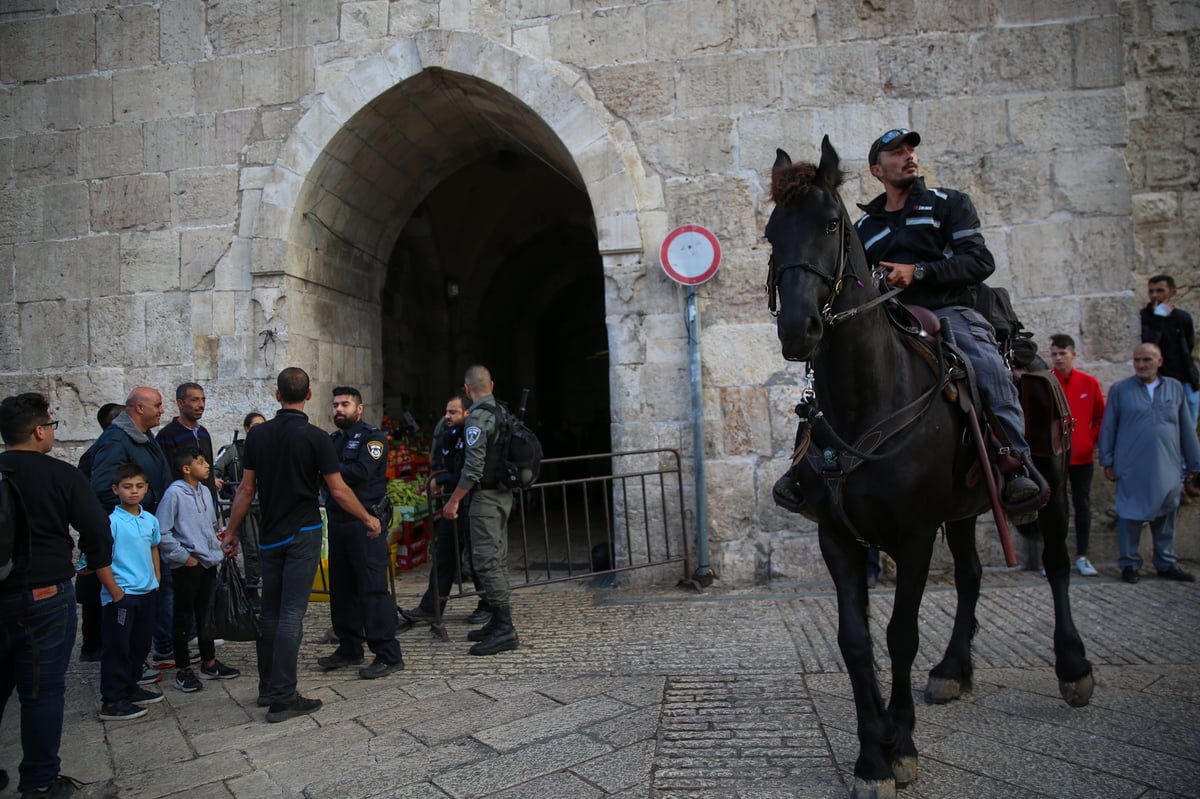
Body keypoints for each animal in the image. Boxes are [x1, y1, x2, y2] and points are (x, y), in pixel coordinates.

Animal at [763, 138, 1094, 796]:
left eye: (831, 223)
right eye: (770, 232)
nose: (797, 329)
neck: (868, 399)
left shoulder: (914, 537)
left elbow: (900, 635)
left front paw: (901, 744)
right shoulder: (838, 537)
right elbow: (856, 641)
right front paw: (871, 756)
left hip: (1053, 478)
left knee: (1055, 562)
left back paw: (1073, 667)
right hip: (964, 510)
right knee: (970, 575)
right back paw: (953, 669)